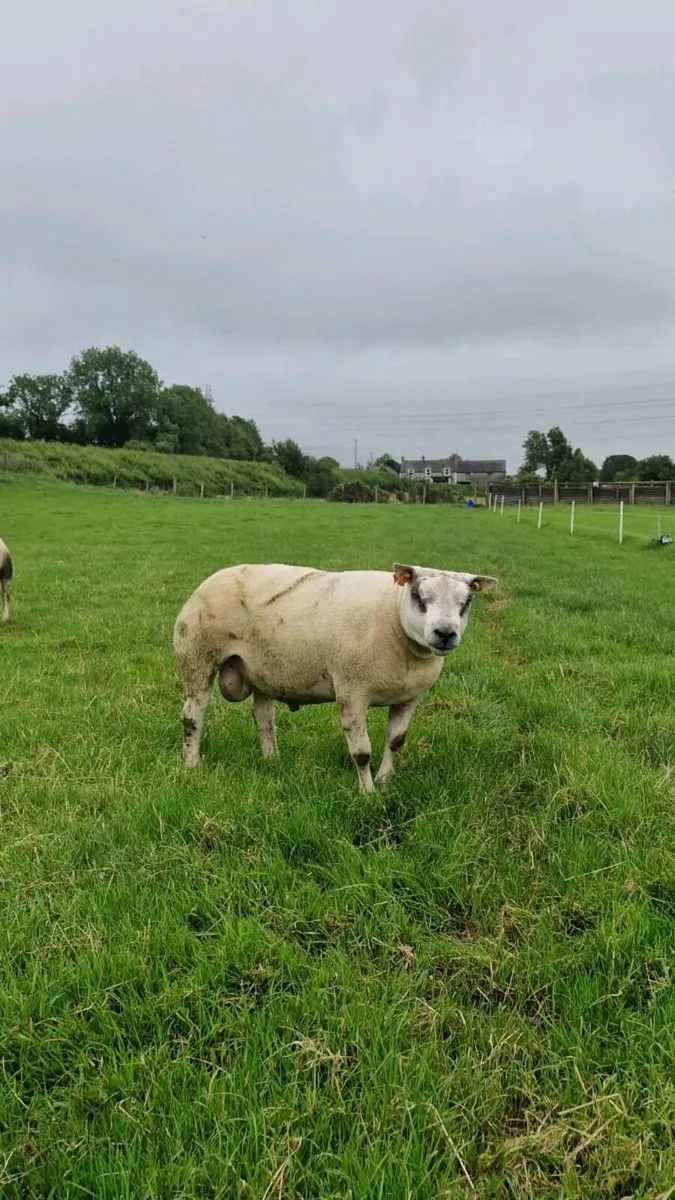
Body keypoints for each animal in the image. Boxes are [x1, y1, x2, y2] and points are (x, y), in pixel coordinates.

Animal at [173, 562, 497, 792]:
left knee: (263, 719)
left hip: (261, 669)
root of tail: (211, 579)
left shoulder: (409, 698)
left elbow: (395, 741)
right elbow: (361, 752)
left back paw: (271, 760)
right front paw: (367, 794)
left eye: (467, 601)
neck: (394, 617)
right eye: (418, 595)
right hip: (197, 657)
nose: (445, 633)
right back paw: (191, 764)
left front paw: (385, 781)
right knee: (192, 716)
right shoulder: (352, 691)